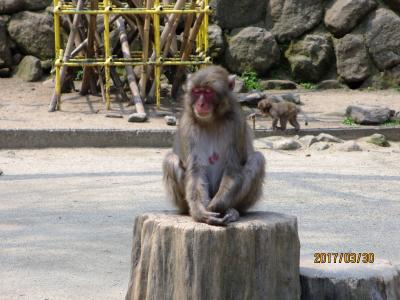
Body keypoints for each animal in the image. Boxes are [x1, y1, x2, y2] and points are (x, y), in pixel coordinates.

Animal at [162, 65, 266, 225]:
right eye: (197, 91)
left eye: (208, 92)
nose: (200, 104)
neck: (211, 120)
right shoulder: (187, 124)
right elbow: (196, 170)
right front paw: (200, 212)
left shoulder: (236, 122)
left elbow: (232, 168)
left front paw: (217, 205)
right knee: (170, 160)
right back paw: (191, 212)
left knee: (257, 159)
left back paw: (232, 211)